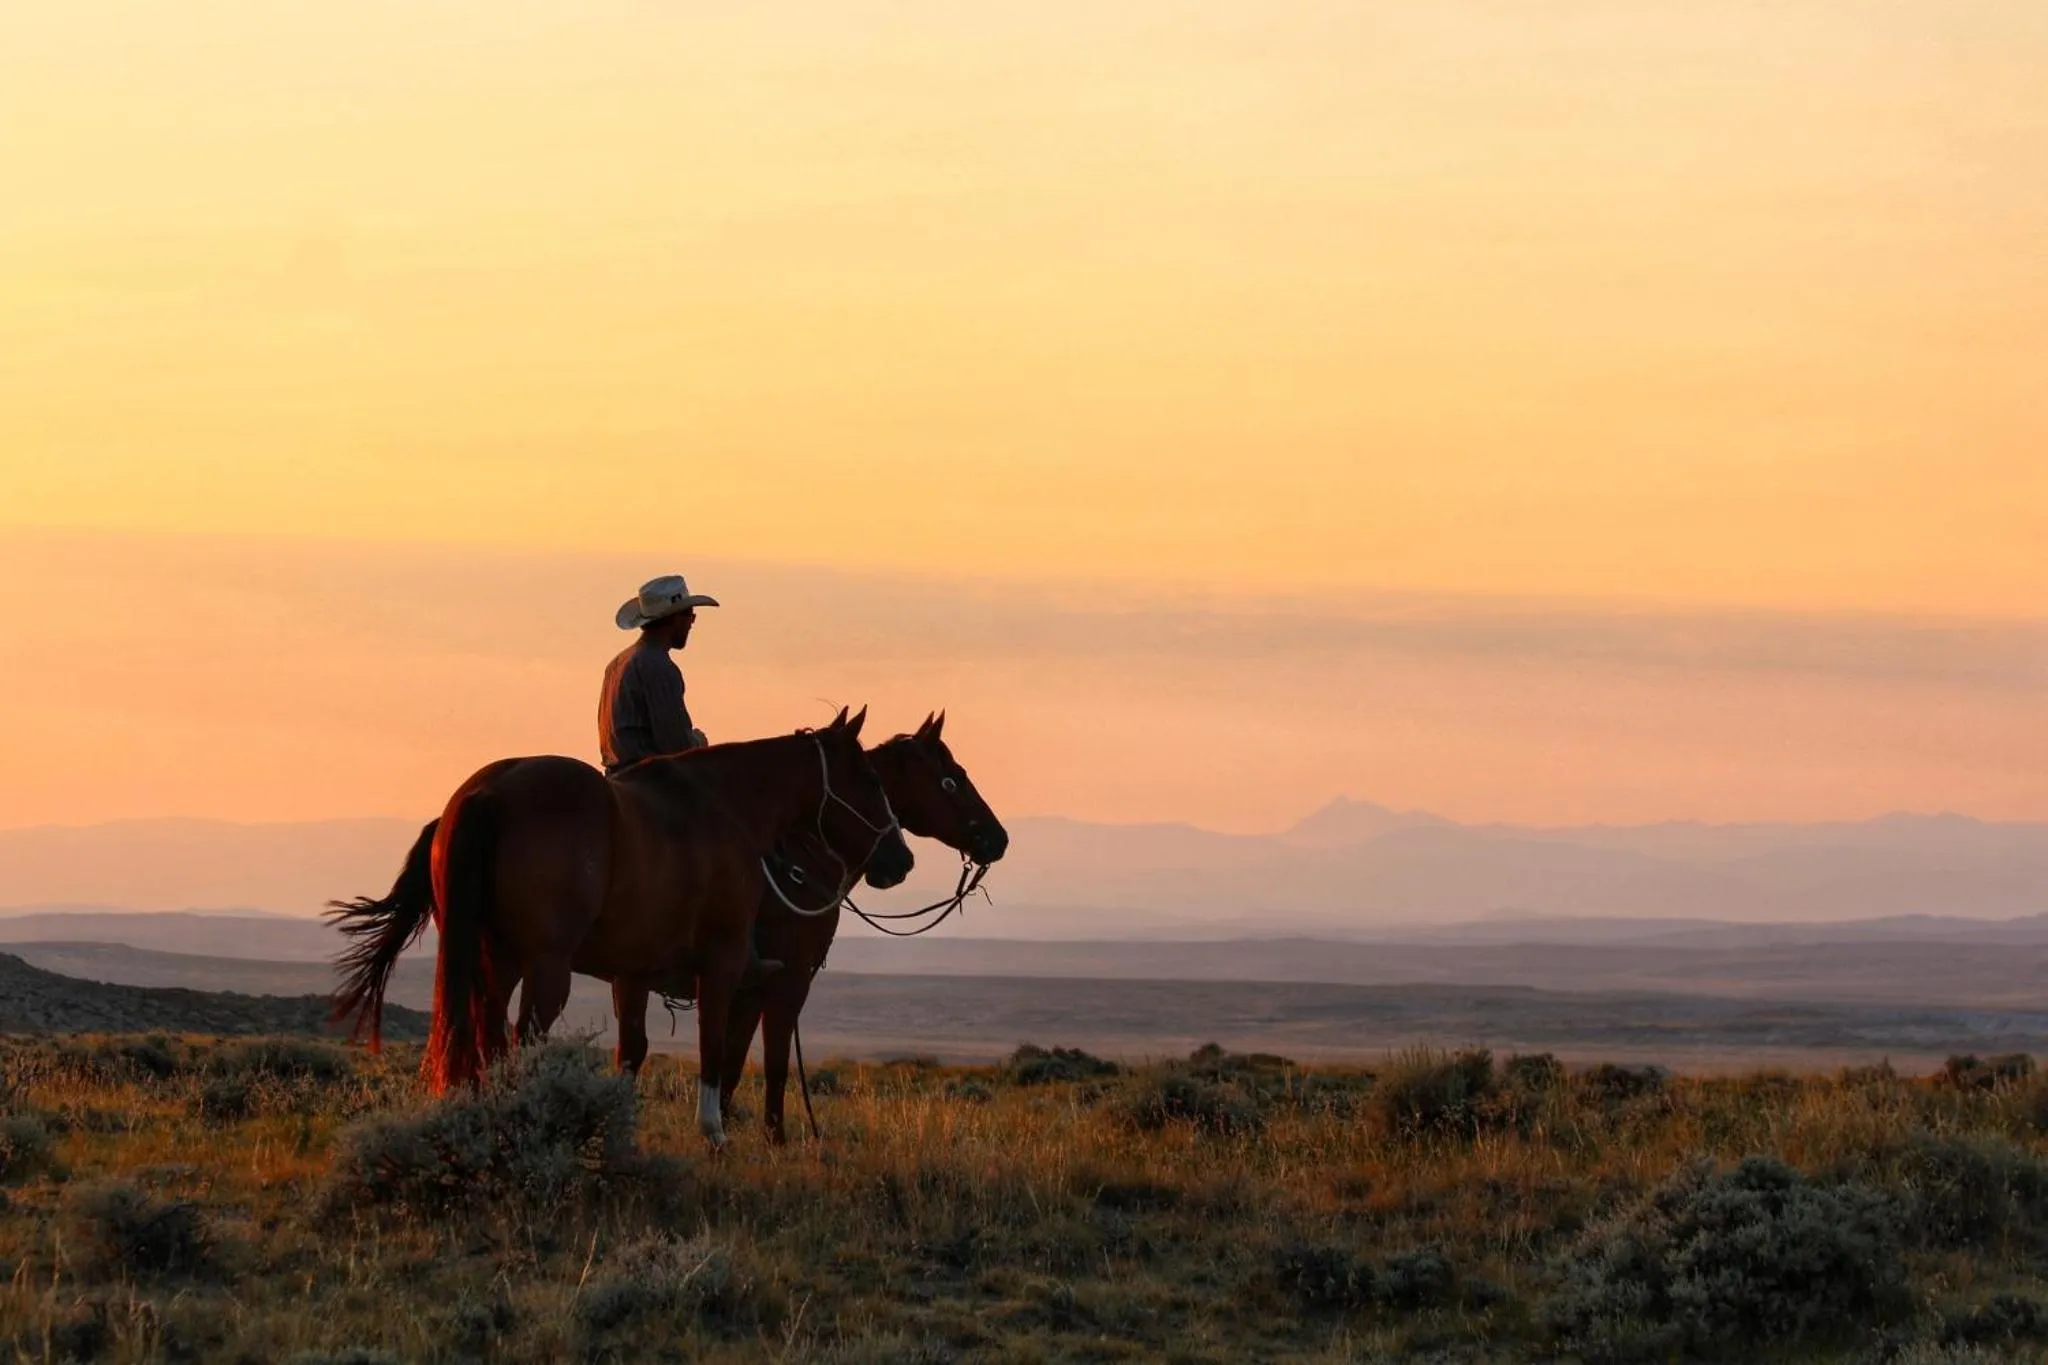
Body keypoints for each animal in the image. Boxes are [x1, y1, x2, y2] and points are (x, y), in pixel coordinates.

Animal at [330, 707, 911, 1147]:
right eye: (872, 779)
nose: (900, 860)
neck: (731, 808)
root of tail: (486, 794)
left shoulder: (633, 974)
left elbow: (635, 1050)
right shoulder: (730, 966)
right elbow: (719, 1046)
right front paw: (716, 1133)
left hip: (498, 957)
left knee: (486, 1032)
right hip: (546, 965)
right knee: (525, 1036)